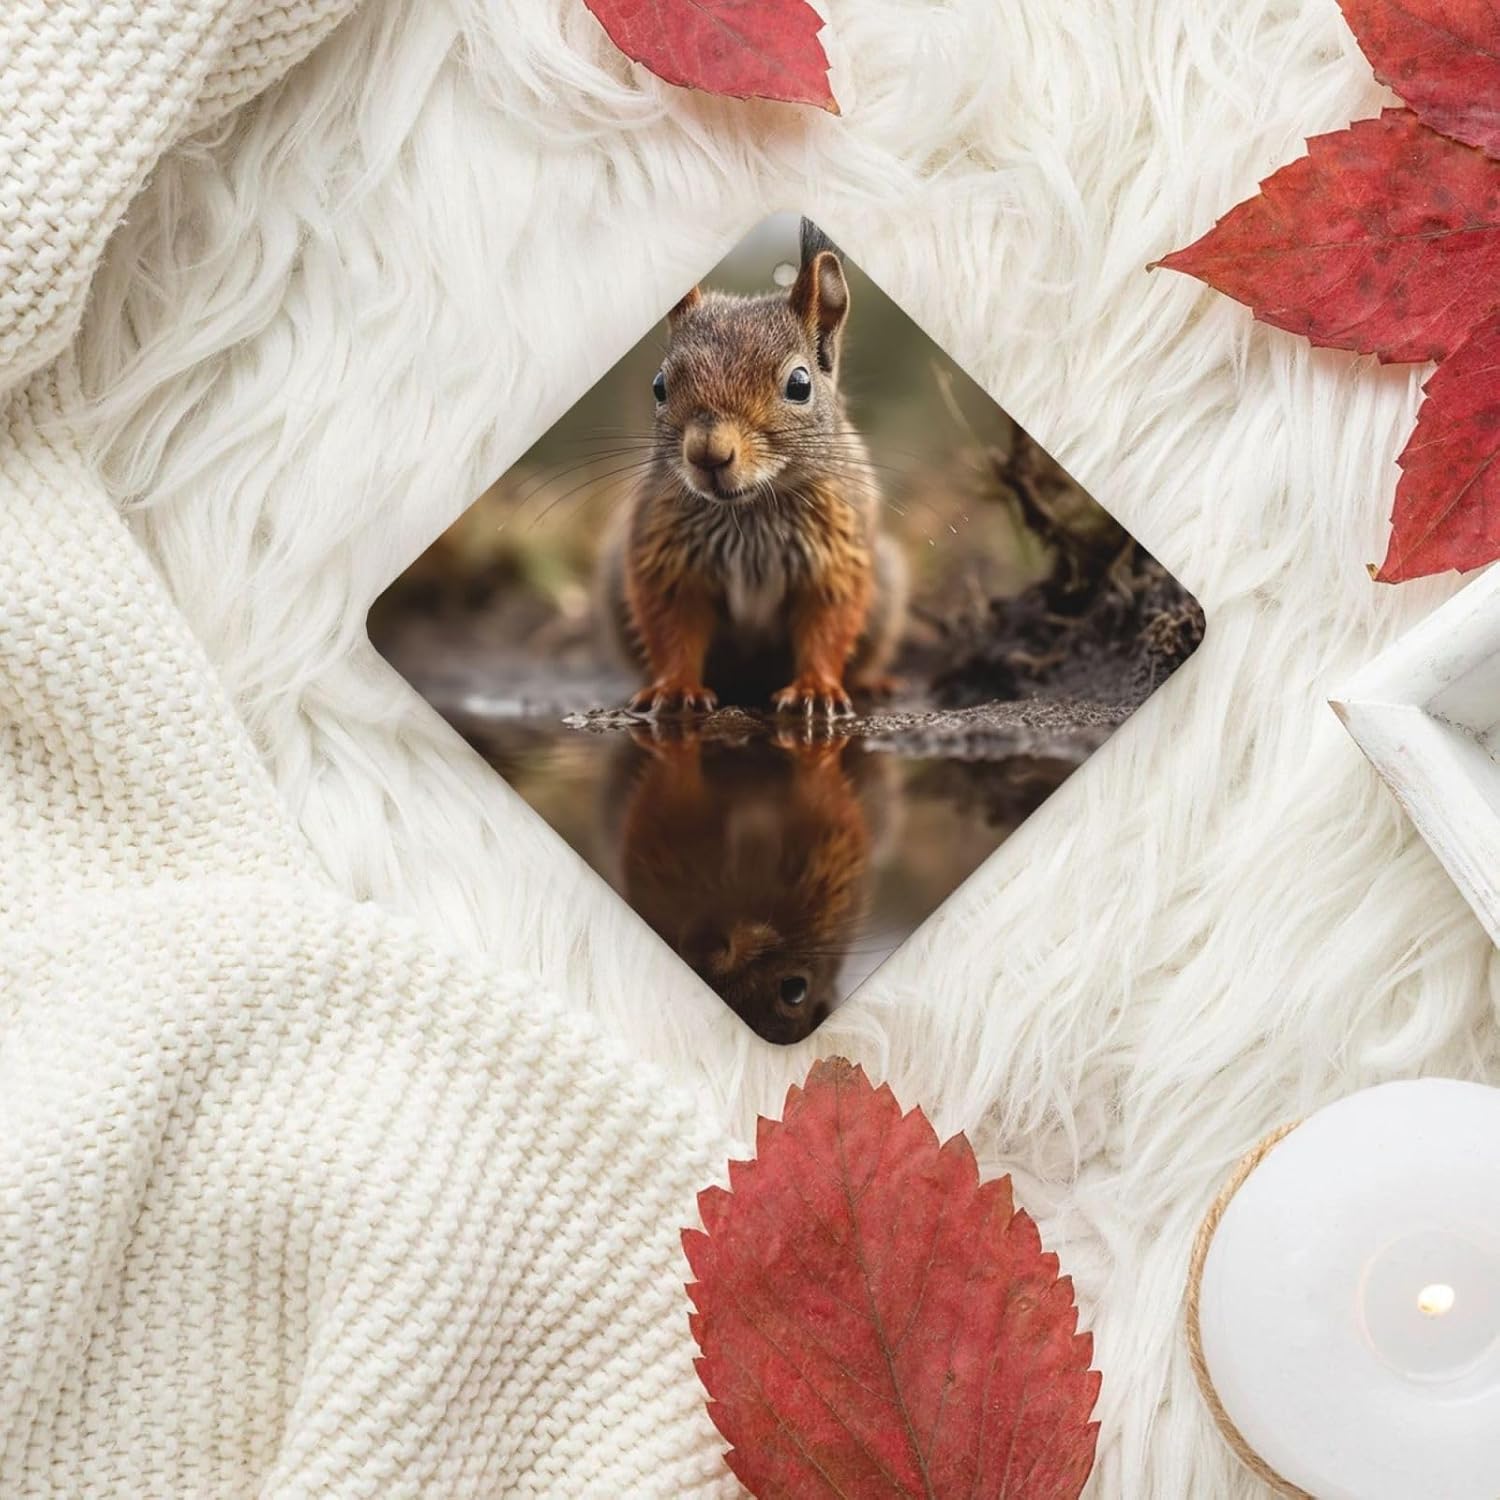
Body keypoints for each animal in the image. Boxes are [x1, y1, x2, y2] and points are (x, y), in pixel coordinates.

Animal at [600, 220, 907, 718]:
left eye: (799, 384)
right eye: (660, 385)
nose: (708, 453)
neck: (750, 509)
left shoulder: (837, 558)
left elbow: (827, 626)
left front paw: (815, 690)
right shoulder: (663, 555)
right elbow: (672, 629)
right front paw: (675, 688)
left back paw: (871, 683)